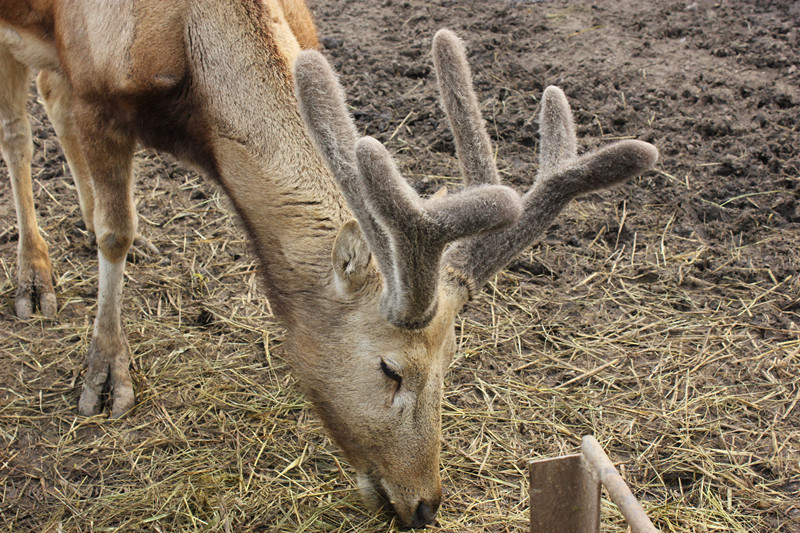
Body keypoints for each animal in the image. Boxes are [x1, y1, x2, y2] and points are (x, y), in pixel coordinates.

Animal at [0, 0, 656, 524]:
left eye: (451, 359)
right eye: (391, 370)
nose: (425, 505)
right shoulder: (95, 92)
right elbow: (116, 234)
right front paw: (105, 376)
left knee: (46, 103)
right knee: (18, 130)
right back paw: (34, 278)